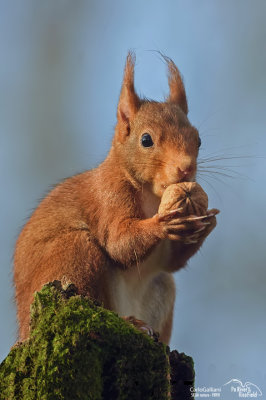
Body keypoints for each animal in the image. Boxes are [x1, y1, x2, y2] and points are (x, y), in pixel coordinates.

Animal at [13, 52, 218, 344]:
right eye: (146, 140)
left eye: (199, 140)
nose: (186, 168)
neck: (152, 196)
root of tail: (25, 332)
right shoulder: (108, 196)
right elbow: (118, 242)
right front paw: (162, 224)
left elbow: (172, 262)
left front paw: (207, 223)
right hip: (73, 253)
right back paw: (130, 322)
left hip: (161, 288)